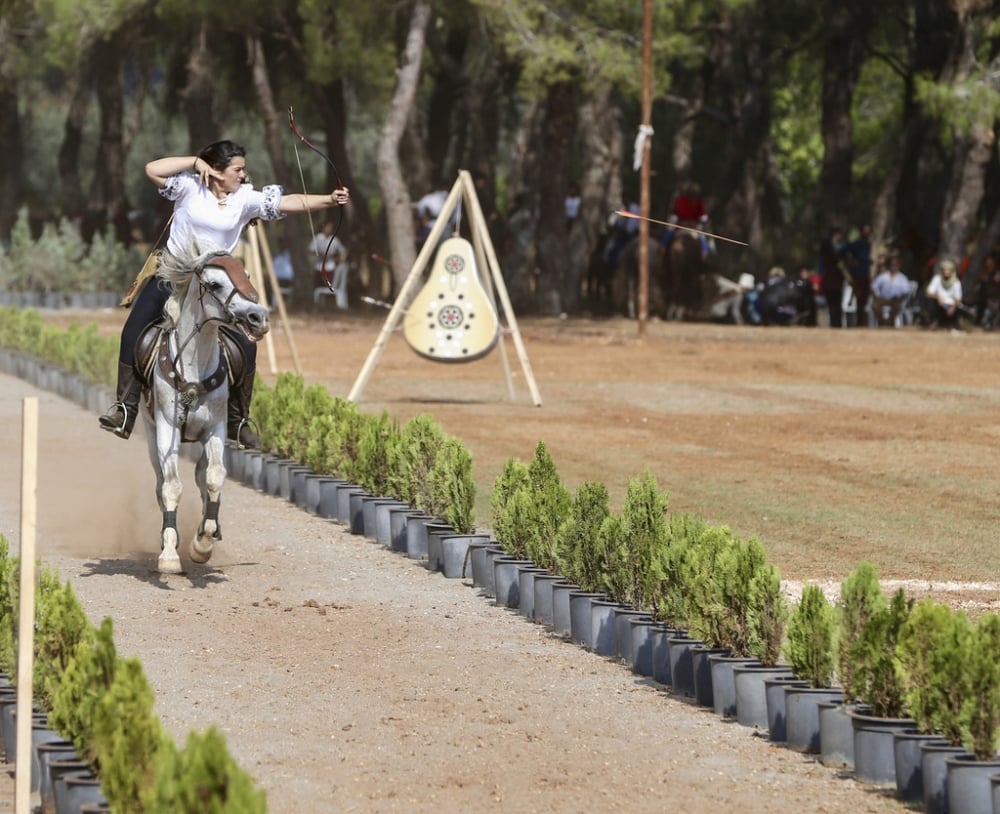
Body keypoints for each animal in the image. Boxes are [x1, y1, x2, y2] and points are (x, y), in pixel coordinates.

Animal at [143, 252, 270, 576]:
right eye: (214, 284)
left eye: (247, 275)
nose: (258, 318)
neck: (193, 366)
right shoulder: (167, 429)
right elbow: (171, 486)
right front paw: (169, 553)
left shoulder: (215, 429)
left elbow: (214, 478)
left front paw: (202, 544)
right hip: (150, 434)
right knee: (159, 483)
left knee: (203, 477)